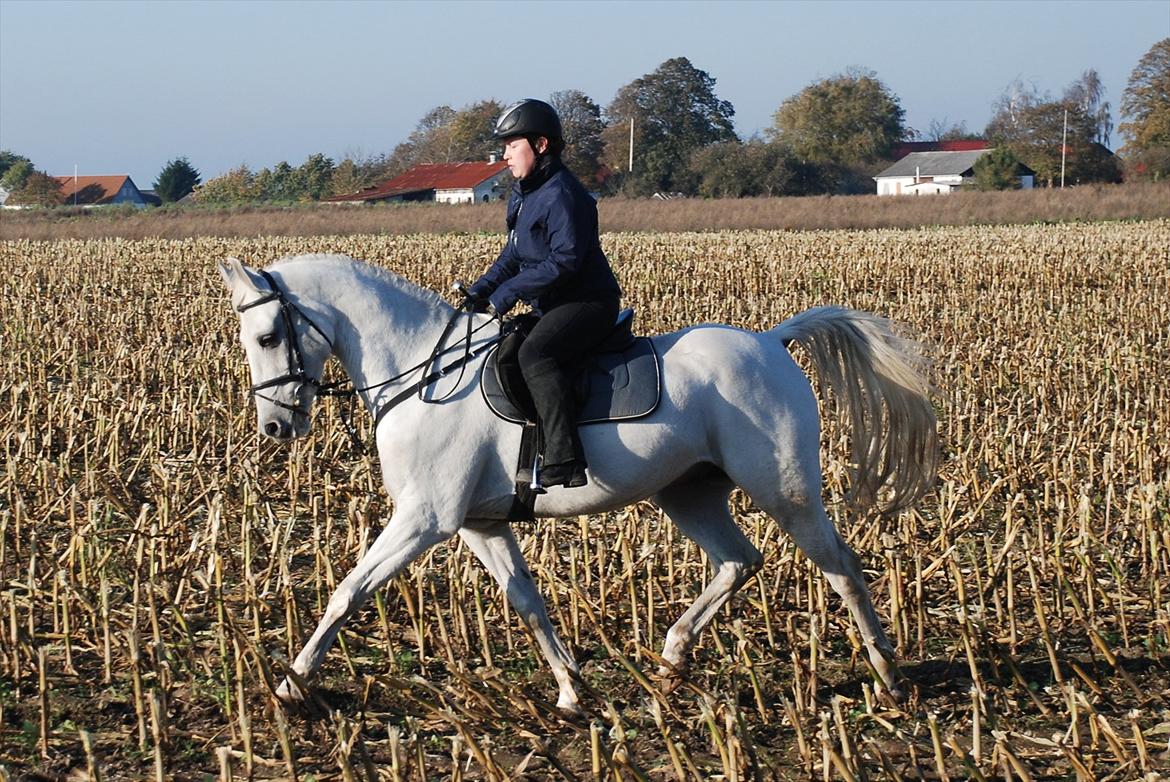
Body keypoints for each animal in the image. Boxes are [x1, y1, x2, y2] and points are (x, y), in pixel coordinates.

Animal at [217, 254, 931, 711]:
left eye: (269, 335)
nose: (275, 427)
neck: (423, 372)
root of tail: (771, 342)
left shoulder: (424, 519)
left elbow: (348, 592)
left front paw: (292, 684)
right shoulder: (480, 524)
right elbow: (528, 602)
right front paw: (569, 691)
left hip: (786, 491)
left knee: (841, 567)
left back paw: (889, 677)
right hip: (688, 492)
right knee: (738, 561)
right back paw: (672, 660)